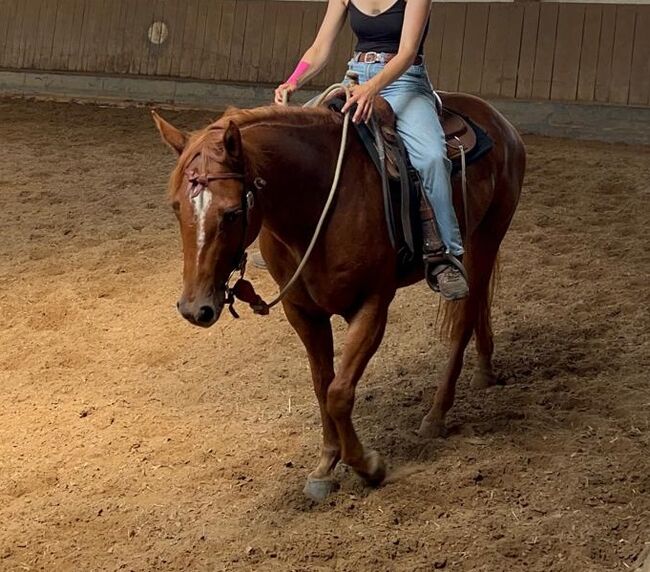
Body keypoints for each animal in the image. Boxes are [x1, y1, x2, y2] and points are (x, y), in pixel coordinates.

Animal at [153, 91, 528, 498]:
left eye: (233, 213)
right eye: (176, 206)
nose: (195, 308)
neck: (317, 202)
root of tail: (498, 119)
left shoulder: (371, 305)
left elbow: (339, 393)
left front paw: (368, 466)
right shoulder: (302, 312)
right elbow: (322, 385)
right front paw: (325, 466)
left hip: (488, 235)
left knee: (465, 317)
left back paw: (436, 414)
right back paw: (484, 370)